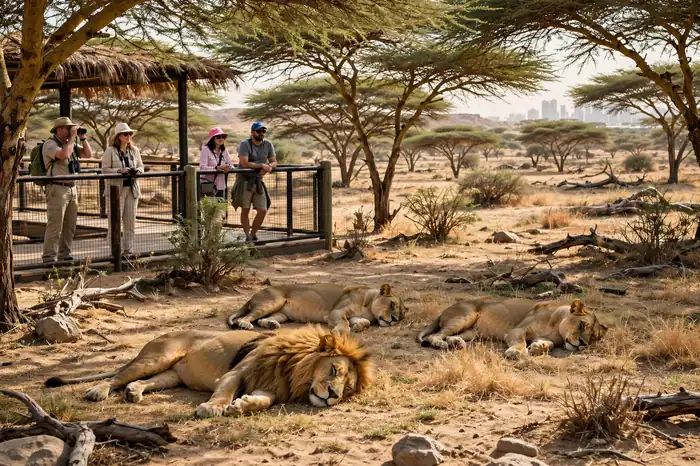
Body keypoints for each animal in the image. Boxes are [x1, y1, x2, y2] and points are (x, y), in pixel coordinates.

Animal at [44, 326, 373, 418]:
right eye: (334, 370)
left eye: (347, 390)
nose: (333, 396)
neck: (295, 372)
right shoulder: (238, 372)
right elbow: (225, 391)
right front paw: (214, 408)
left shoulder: (269, 385)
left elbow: (263, 401)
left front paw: (243, 405)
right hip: (156, 357)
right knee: (115, 376)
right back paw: (98, 391)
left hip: (171, 375)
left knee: (145, 382)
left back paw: (134, 392)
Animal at [227, 283, 407, 333]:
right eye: (392, 305)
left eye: (401, 316)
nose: (394, 320)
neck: (369, 306)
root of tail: (253, 296)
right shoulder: (336, 312)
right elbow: (343, 323)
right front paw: (341, 332)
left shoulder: (354, 315)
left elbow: (364, 322)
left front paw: (358, 326)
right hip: (273, 301)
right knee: (246, 317)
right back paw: (245, 324)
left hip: (282, 314)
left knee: (262, 320)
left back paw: (271, 325)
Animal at [417, 298, 608, 359]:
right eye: (582, 325)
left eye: (594, 338)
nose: (583, 344)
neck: (557, 329)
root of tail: (444, 310)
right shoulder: (518, 330)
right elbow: (520, 342)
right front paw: (516, 352)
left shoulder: (547, 337)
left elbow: (549, 345)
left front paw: (537, 348)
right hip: (464, 317)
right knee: (435, 335)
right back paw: (441, 344)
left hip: (472, 331)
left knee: (451, 336)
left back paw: (456, 343)